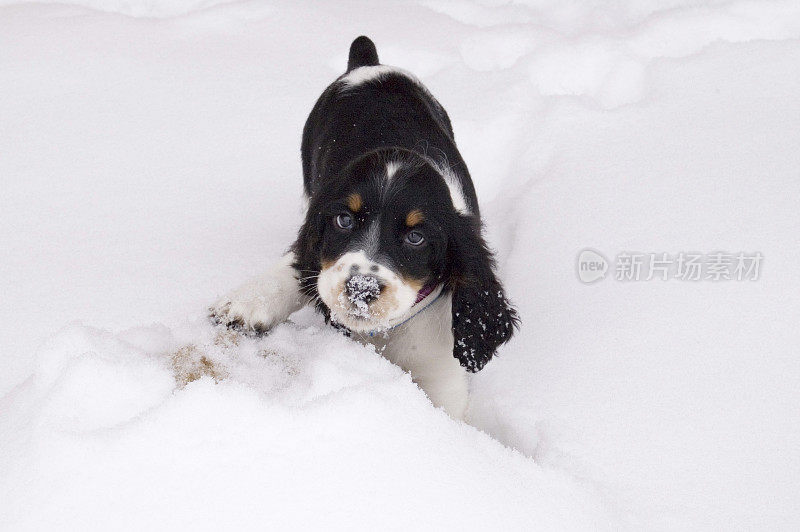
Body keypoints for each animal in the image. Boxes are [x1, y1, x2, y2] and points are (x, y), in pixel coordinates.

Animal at [211, 37, 520, 420]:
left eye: (416, 238)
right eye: (343, 220)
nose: (361, 288)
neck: (385, 333)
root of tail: (368, 63)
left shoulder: (440, 377)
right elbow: (298, 266)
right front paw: (245, 305)